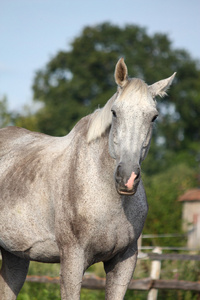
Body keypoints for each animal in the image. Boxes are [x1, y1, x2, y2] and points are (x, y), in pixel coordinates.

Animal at [0, 58, 175, 300]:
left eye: (154, 116)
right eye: (115, 112)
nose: (127, 177)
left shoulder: (124, 262)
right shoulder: (73, 259)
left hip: (15, 255)